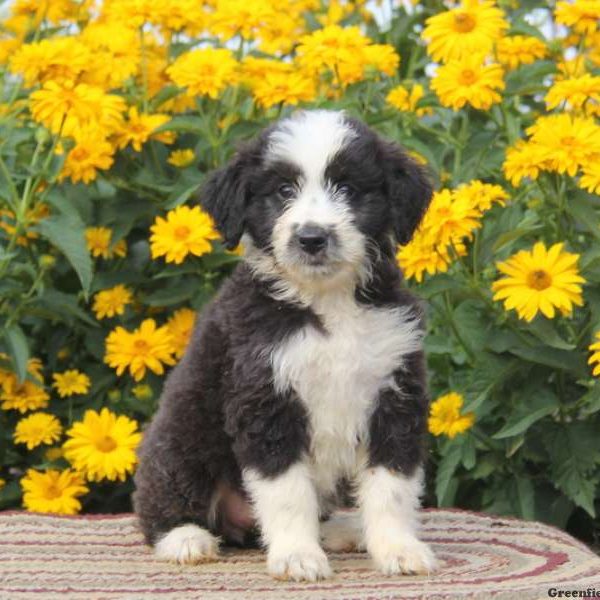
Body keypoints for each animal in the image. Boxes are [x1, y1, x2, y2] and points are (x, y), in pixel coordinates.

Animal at [134, 109, 436, 580]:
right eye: (282, 191)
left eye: (348, 188)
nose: (311, 238)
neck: (327, 302)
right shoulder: (266, 400)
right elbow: (288, 490)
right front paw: (297, 556)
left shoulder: (395, 393)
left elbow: (392, 485)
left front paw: (398, 549)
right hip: (182, 435)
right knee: (163, 498)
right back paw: (185, 539)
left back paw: (342, 531)